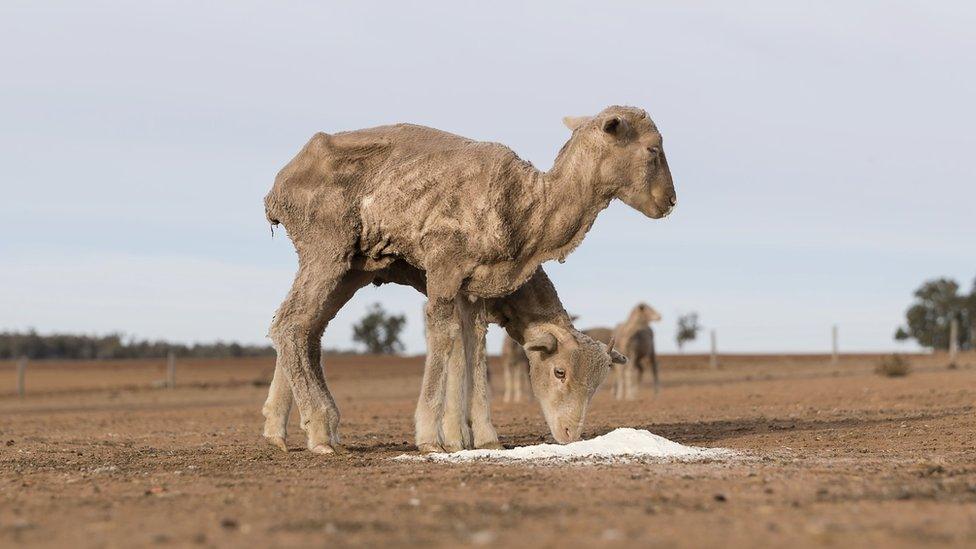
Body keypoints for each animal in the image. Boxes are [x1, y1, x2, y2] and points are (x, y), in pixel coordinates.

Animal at [264, 105, 676, 452]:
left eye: (597, 386)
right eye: (653, 149)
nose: (670, 201)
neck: (530, 207)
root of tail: (279, 185)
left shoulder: (473, 288)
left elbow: (470, 348)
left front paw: (478, 436)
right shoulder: (445, 267)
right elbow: (446, 341)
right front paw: (435, 438)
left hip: (352, 266)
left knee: (308, 330)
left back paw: (290, 429)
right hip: (326, 246)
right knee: (291, 325)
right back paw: (319, 429)